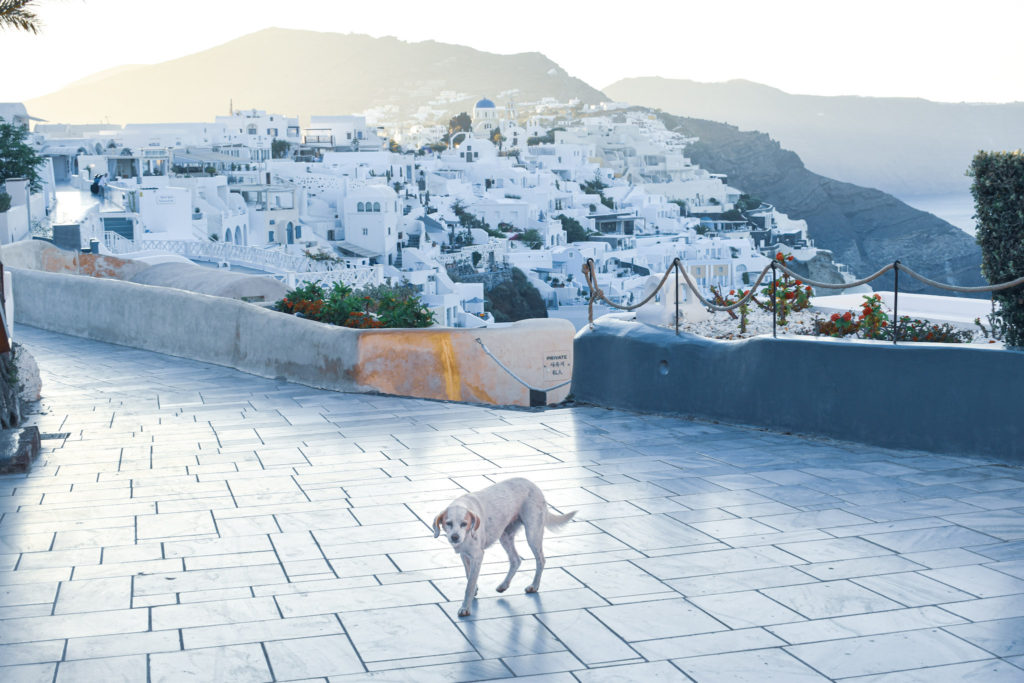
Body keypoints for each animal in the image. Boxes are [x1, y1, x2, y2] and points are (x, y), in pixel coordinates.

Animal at [432, 479, 577, 618]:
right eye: (448, 523)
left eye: (464, 523)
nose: (455, 537)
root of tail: (534, 486)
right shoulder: (465, 555)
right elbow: (469, 577)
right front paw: (474, 591)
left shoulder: (477, 556)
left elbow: (469, 585)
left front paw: (465, 608)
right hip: (505, 536)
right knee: (516, 560)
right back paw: (504, 585)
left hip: (532, 534)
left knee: (541, 560)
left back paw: (534, 586)